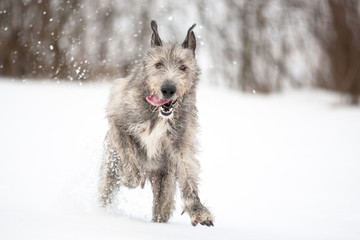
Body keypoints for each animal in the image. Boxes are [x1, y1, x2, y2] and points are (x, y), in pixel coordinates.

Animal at [98, 20, 214, 227]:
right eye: (158, 64)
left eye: (183, 67)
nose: (168, 89)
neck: (159, 114)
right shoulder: (118, 119)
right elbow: (128, 151)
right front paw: (130, 177)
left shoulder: (181, 143)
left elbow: (187, 176)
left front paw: (198, 210)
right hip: (110, 172)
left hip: (165, 185)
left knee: (161, 210)